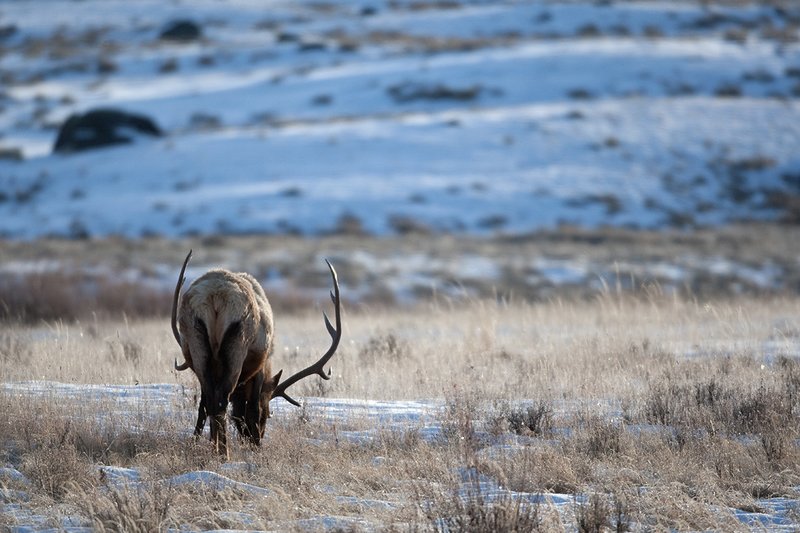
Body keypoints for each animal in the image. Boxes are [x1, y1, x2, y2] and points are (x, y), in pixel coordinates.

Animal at [170, 250, 341, 458]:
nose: (252, 439)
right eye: (266, 412)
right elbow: (250, 408)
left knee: (210, 400)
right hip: (238, 344)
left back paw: (211, 447)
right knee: (221, 401)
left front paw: (203, 441)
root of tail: (216, 295)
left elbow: (204, 406)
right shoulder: (259, 369)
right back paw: (224, 454)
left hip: (197, 347)